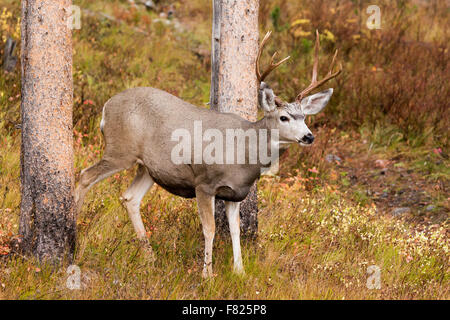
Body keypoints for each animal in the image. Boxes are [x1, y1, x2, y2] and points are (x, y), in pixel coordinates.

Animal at [74, 31, 342, 278]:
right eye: (284, 117)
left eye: (304, 117)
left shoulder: (235, 193)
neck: (245, 154)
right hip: (120, 149)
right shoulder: (204, 183)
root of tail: (107, 106)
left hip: (148, 167)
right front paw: (207, 274)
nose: (309, 136)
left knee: (130, 198)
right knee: (85, 176)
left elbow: (235, 230)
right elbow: (210, 228)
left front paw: (239, 271)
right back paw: (75, 233)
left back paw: (150, 258)